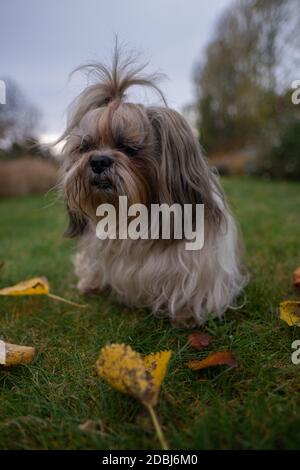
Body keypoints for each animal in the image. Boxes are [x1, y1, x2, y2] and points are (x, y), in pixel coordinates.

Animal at [59, 47, 247, 326]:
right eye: (85, 147)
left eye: (128, 147)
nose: (98, 160)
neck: (130, 216)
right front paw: (91, 284)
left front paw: (185, 314)